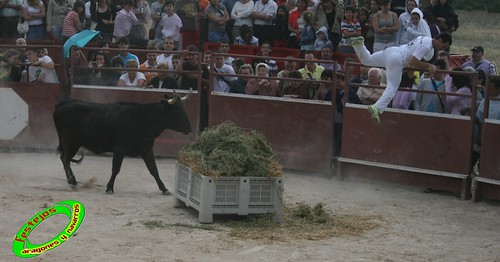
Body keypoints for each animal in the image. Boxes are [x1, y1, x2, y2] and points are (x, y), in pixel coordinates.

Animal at [53, 93, 191, 193]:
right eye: (177, 111)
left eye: (183, 109)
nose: (189, 129)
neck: (143, 119)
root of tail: (62, 104)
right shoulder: (119, 149)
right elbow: (116, 168)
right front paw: (109, 187)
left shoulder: (146, 149)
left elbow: (153, 169)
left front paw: (164, 188)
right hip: (71, 141)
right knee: (65, 158)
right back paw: (72, 180)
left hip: (72, 143)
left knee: (64, 158)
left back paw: (71, 180)